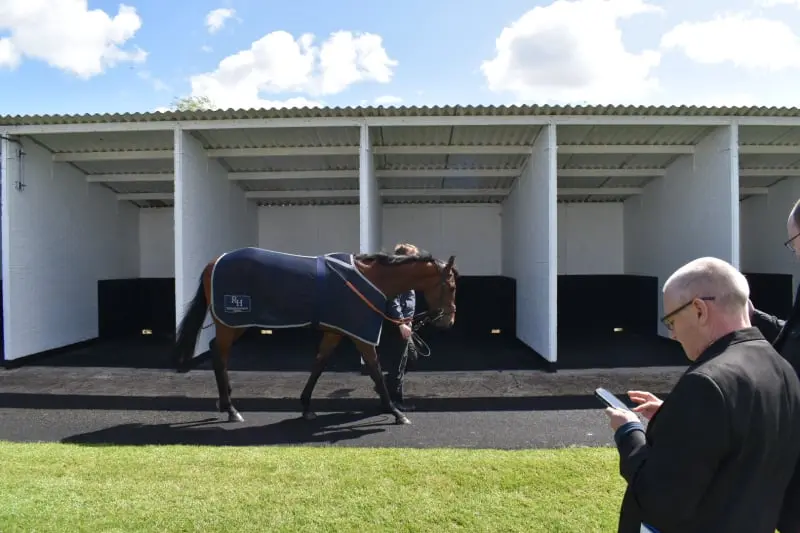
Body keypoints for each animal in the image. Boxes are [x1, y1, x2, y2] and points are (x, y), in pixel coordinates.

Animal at [173, 245, 456, 424]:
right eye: (452, 286)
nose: (449, 320)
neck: (370, 278)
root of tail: (214, 262)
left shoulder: (335, 332)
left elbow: (319, 364)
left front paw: (306, 406)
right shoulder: (360, 335)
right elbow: (375, 369)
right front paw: (395, 412)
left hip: (234, 324)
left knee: (217, 351)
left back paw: (226, 401)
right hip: (233, 321)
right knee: (219, 354)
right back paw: (231, 409)